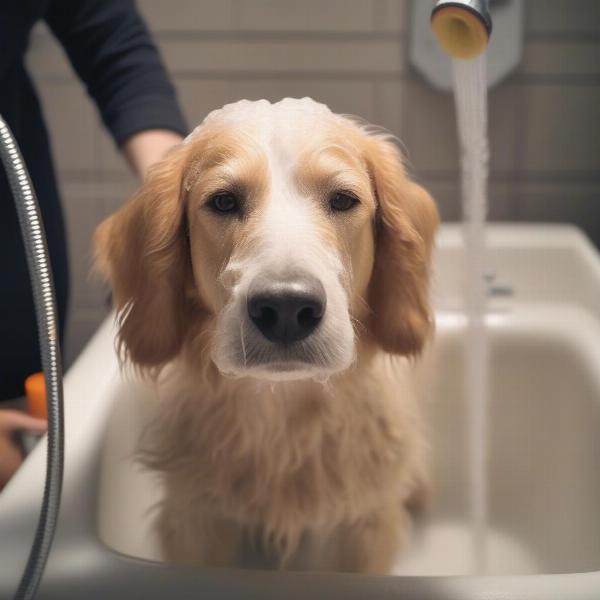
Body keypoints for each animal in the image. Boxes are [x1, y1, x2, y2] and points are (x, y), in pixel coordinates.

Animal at [96, 96, 438, 576]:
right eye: (223, 201)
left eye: (343, 199)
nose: (287, 309)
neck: (283, 421)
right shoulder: (195, 520)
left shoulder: (367, 526)